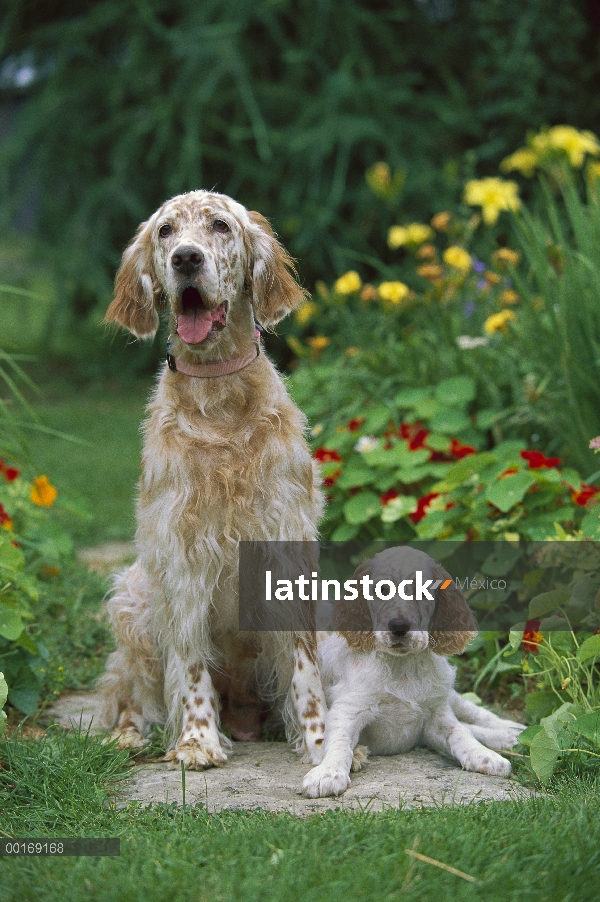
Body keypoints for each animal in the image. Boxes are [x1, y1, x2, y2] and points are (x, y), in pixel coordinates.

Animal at [97, 191, 328, 768]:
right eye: (165, 231)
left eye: (221, 226)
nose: (186, 258)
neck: (221, 402)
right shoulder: (182, 557)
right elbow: (190, 662)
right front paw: (197, 740)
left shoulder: (286, 545)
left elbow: (304, 667)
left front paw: (322, 742)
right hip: (132, 600)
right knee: (130, 694)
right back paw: (129, 736)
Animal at [302, 548, 524, 800]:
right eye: (382, 589)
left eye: (421, 590)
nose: (399, 626)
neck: (403, 666)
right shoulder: (348, 709)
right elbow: (338, 742)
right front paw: (328, 773)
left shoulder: (436, 714)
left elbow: (460, 733)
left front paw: (484, 755)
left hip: (447, 693)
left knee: (473, 714)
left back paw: (511, 731)